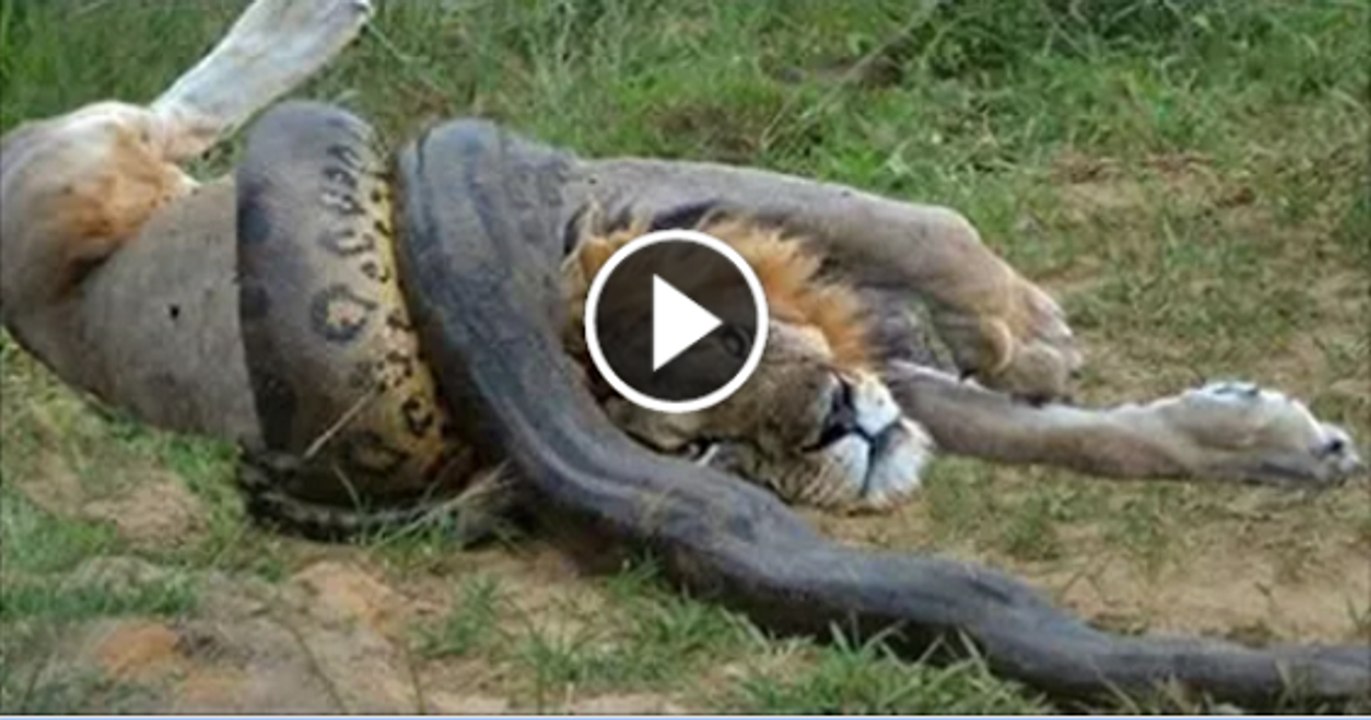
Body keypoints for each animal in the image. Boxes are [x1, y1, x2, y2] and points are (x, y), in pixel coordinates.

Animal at [1, 0, 1366, 705]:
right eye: (699, 450)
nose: (837, 430)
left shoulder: (683, 192)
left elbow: (926, 236)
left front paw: (1072, 353)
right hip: (67, 189)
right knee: (141, 120)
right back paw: (296, 25)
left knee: (161, 127)